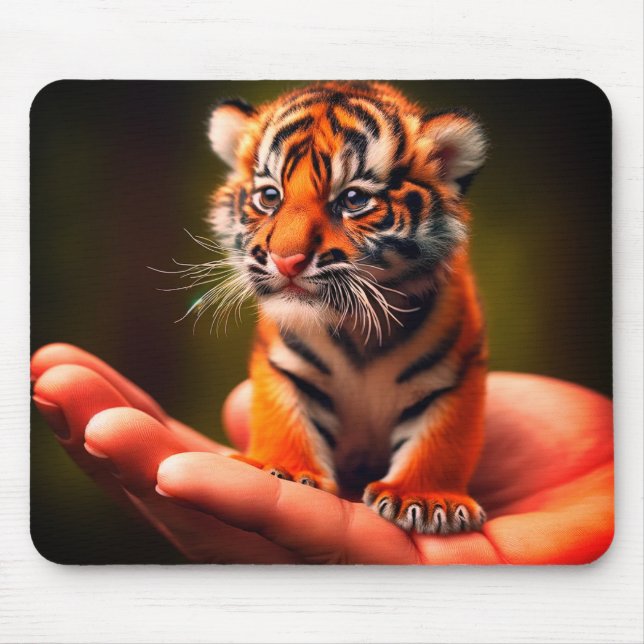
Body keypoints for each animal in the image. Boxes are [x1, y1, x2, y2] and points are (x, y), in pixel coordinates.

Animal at [201, 81, 488, 534]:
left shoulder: (455, 373)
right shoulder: (284, 365)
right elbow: (284, 416)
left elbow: (441, 439)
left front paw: (425, 500)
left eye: (353, 199)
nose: (286, 260)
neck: (357, 329)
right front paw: (280, 468)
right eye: (270, 196)